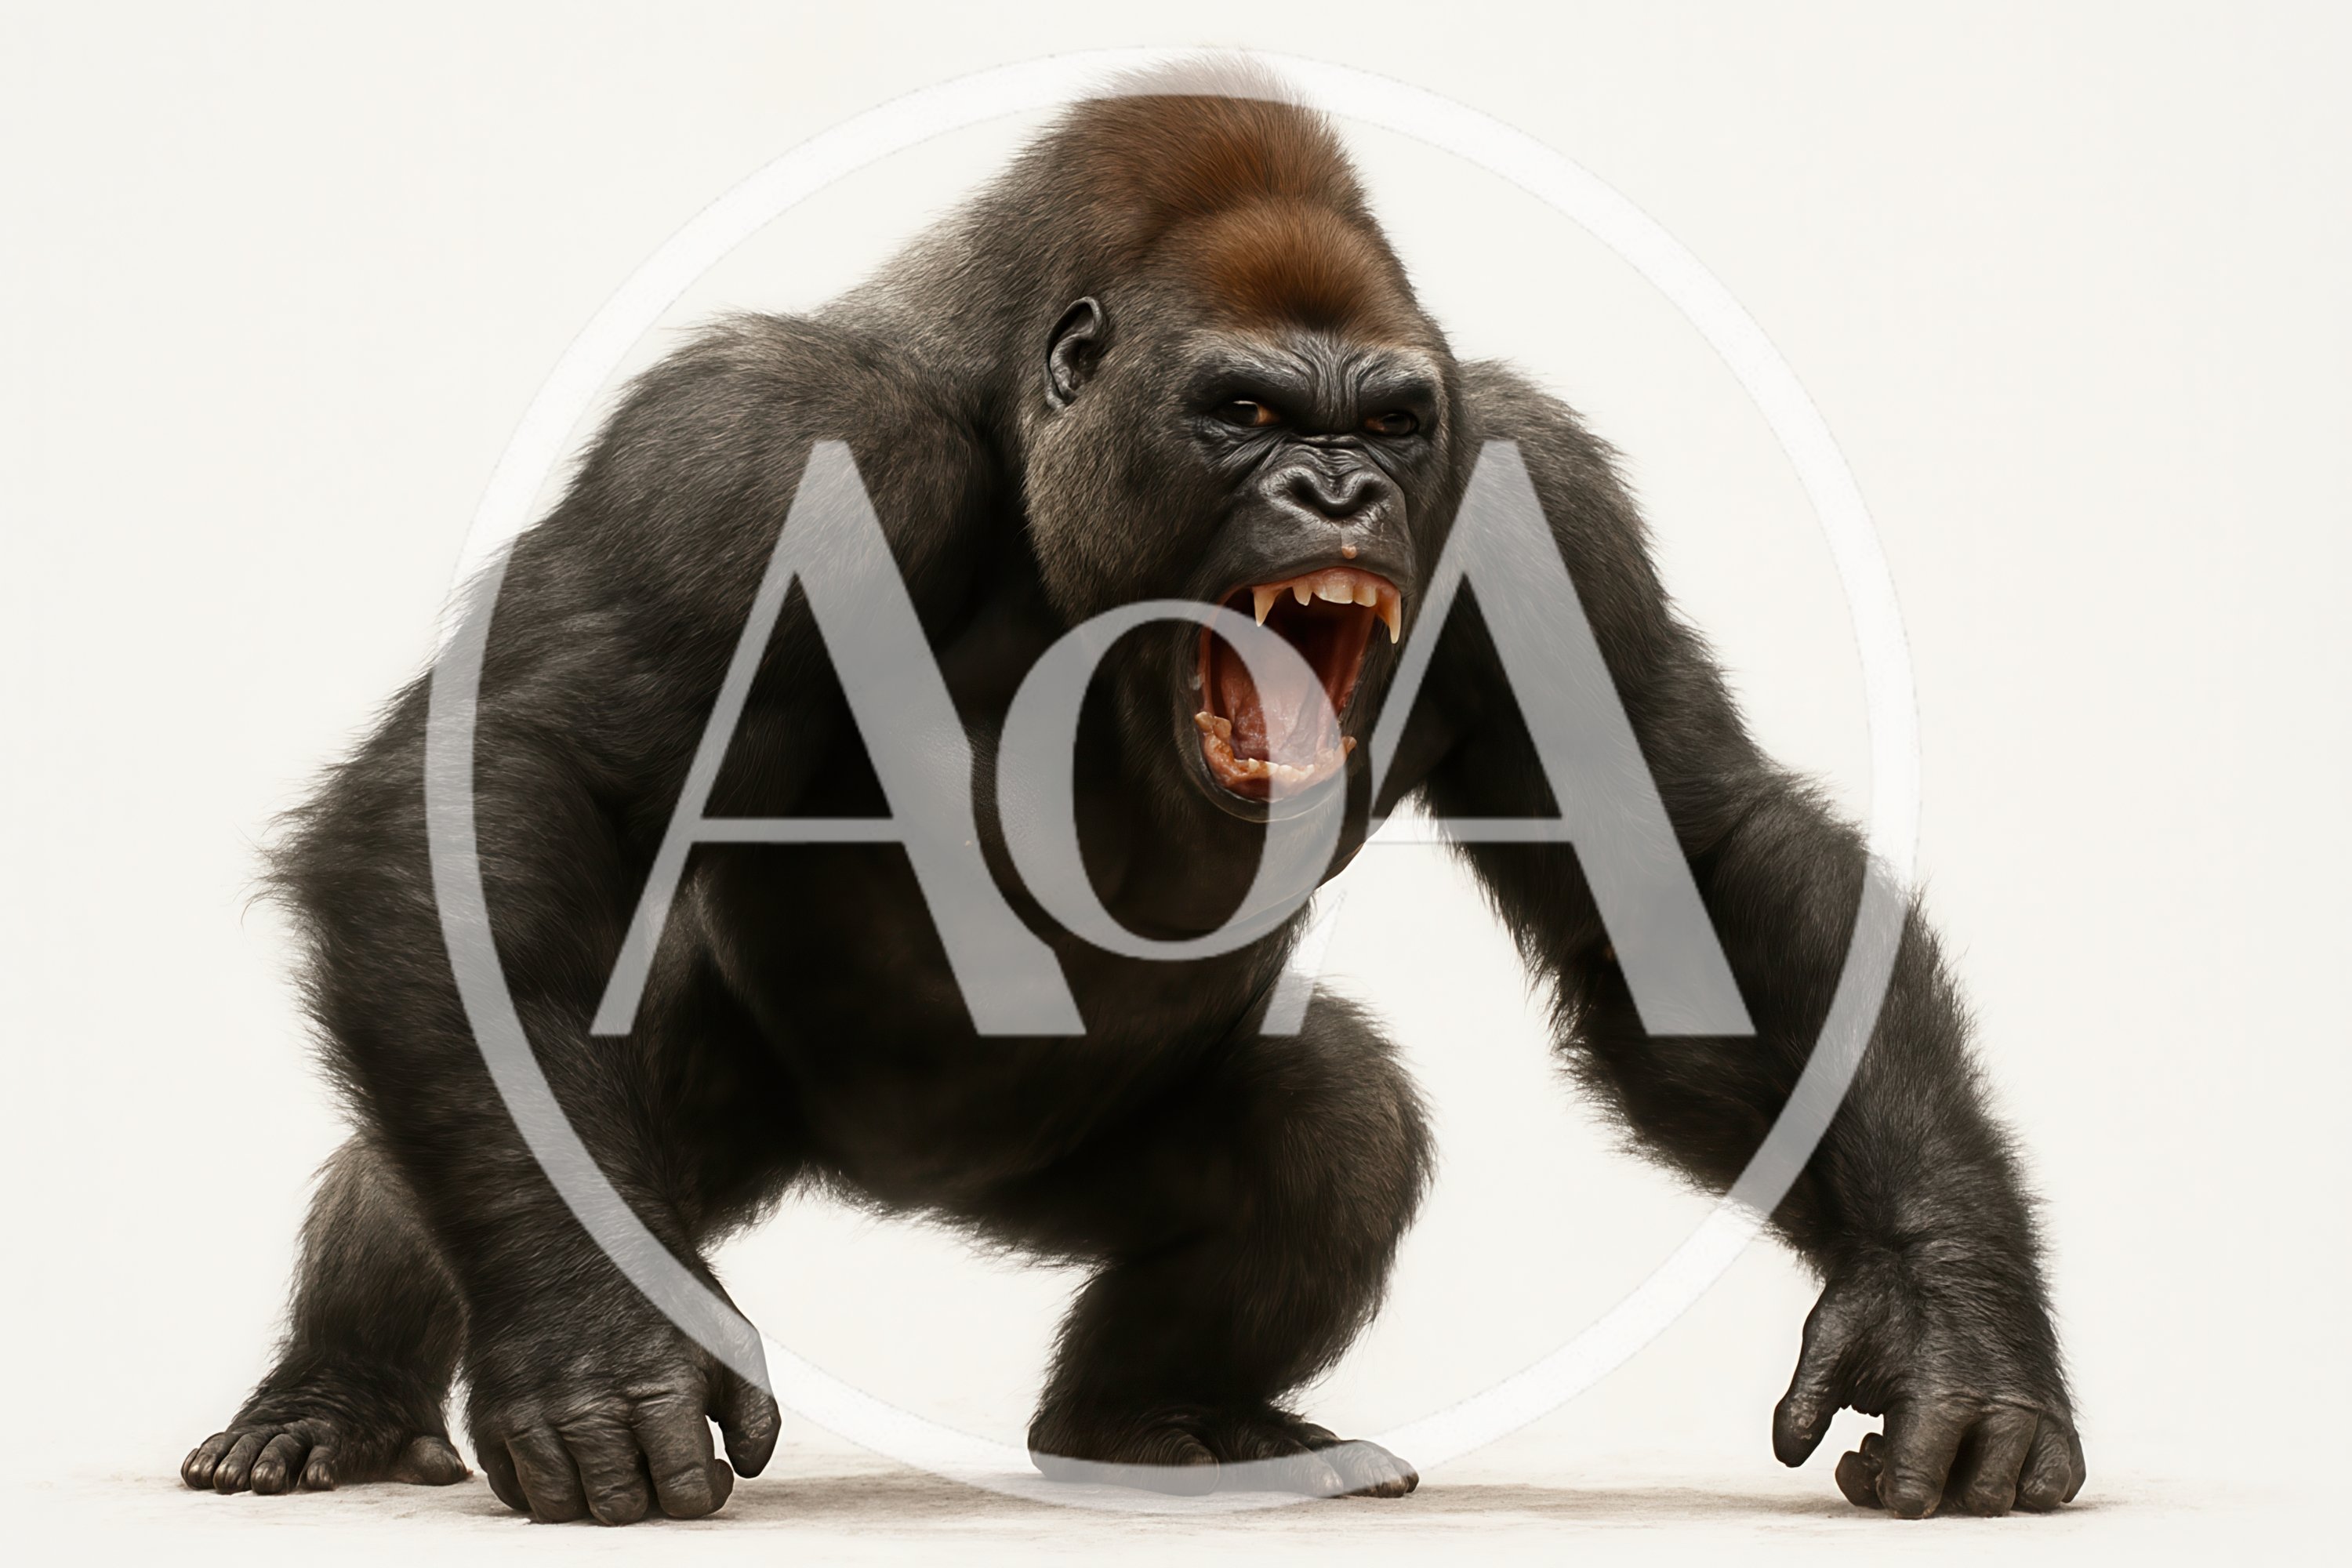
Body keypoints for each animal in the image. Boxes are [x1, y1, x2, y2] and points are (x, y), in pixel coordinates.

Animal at [182, 71, 2084, 1524]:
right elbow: (501, 799)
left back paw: (1151, 1417)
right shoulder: (751, 446)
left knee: (1331, 1129)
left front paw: (1944, 1313)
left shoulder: (1537, 496)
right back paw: (334, 1390)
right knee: (486, 1089)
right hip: (707, 1091)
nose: (1338, 491)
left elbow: (1687, 869)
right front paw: (593, 1347)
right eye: (1243, 410)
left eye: (1389, 424)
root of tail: (878, 1179)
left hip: (1057, 1166)